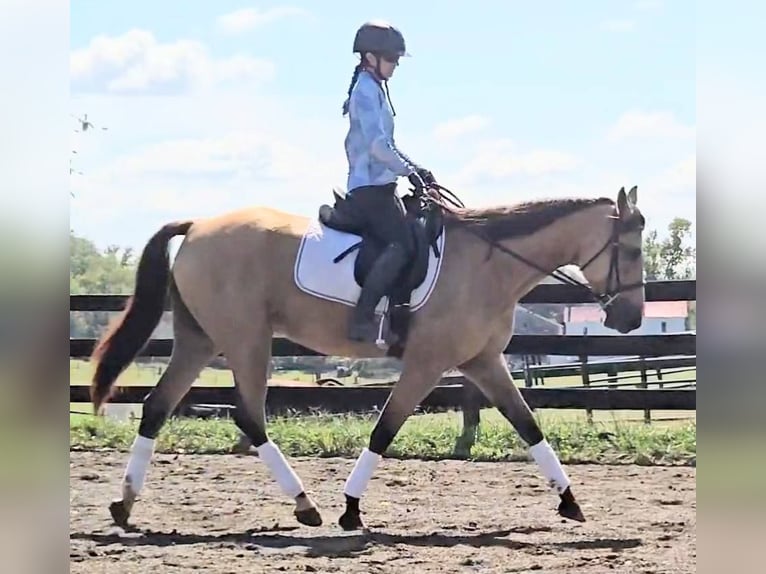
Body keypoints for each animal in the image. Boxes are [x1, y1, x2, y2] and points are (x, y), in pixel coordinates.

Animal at [88, 184, 645, 531]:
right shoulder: (427, 364)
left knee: (158, 407)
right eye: (634, 251)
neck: (487, 266)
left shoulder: (483, 362)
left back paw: (124, 505)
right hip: (246, 339)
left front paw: (570, 501)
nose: (632, 319)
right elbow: (385, 429)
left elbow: (529, 426)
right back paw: (305, 505)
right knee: (248, 416)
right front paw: (351, 509)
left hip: (201, 340)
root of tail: (199, 225)